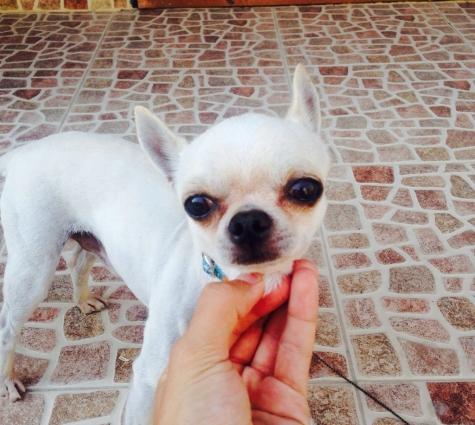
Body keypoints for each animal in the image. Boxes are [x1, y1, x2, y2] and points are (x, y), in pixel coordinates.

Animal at [0, 64, 330, 424]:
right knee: (8, 326)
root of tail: (24, 151)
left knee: (77, 260)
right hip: (33, 272)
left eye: (305, 189)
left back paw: (82, 299)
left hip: (90, 238)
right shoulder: (150, 376)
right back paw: (8, 379)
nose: (248, 222)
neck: (227, 276)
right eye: (196, 205)